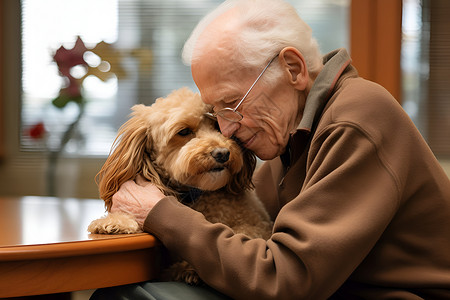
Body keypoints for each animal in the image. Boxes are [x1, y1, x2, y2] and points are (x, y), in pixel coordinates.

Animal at [88, 88, 270, 284]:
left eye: (218, 127)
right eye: (184, 131)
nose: (222, 153)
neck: (196, 193)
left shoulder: (258, 224)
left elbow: (245, 233)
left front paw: (187, 268)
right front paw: (116, 221)